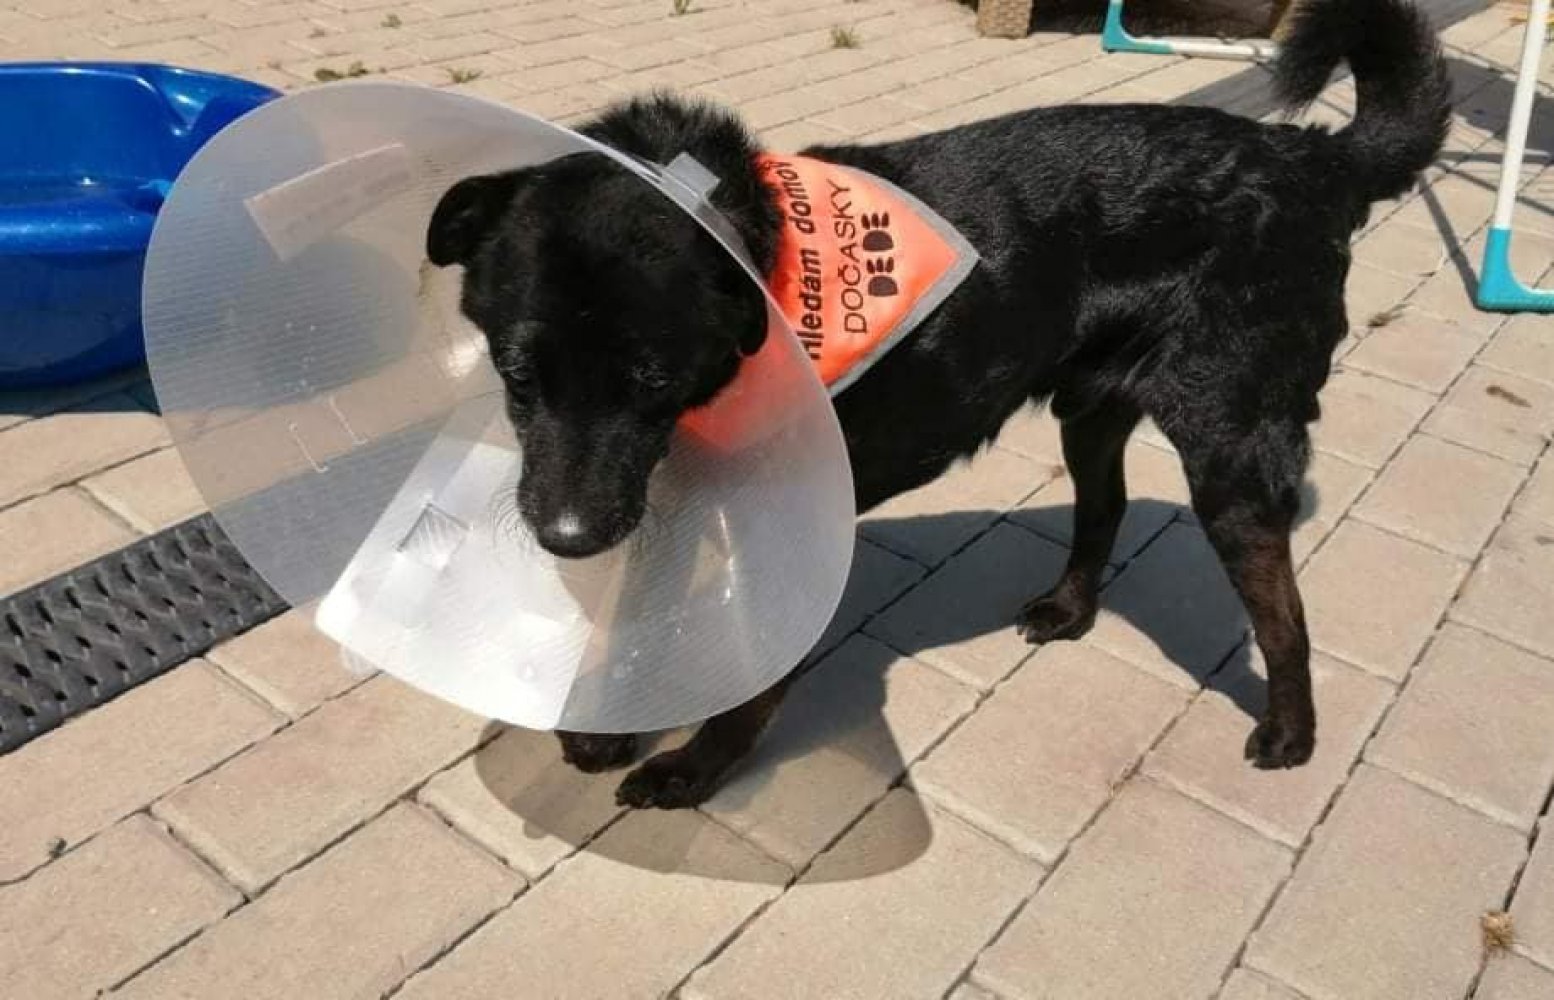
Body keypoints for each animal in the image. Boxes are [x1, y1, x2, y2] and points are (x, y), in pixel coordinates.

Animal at [426, 0, 1451, 809]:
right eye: (516, 373)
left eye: (652, 380)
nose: (565, 538)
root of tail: (1312, 158)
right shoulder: (678, 496)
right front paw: (615, 724)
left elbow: (752, 673)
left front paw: (695, 767)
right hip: (1092, 412)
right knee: (1106, 505)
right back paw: (1069, 610)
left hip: (1231, 444)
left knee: (1281, 600)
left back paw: (1291, 733)